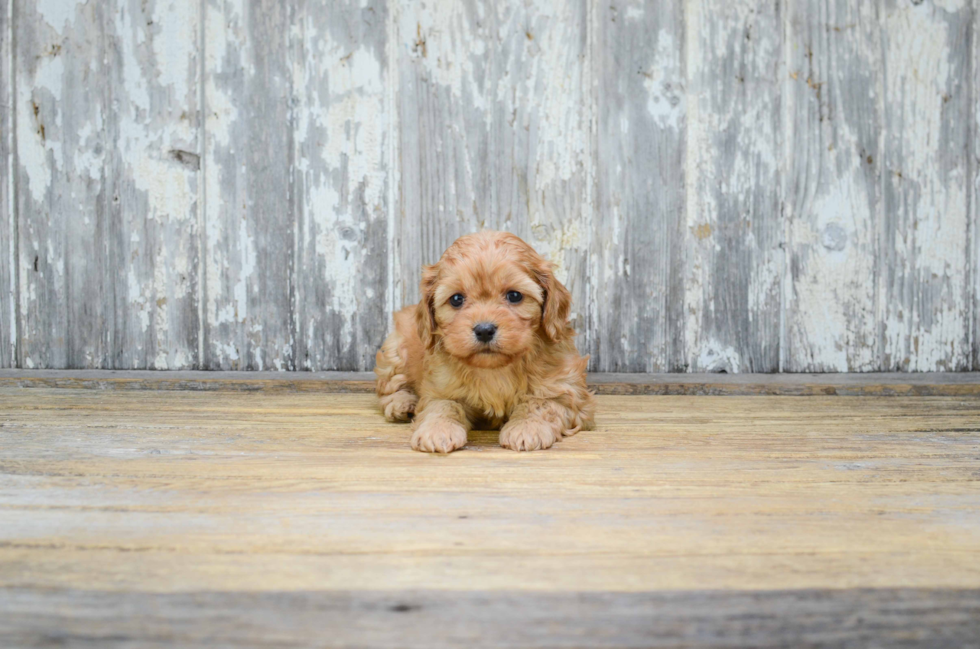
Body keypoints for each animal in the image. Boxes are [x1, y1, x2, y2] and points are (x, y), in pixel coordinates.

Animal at [376, 230, 592, 454]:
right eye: (456, 299)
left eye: (514, 295)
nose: (484, 330)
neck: (494, 369)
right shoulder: (438, 388)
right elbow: (443, 405)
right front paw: (437, 431)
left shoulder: (567, 392)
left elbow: (541, 403)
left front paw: (526, 428)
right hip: (395, 353)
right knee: (390, 387)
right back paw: (402, 404)